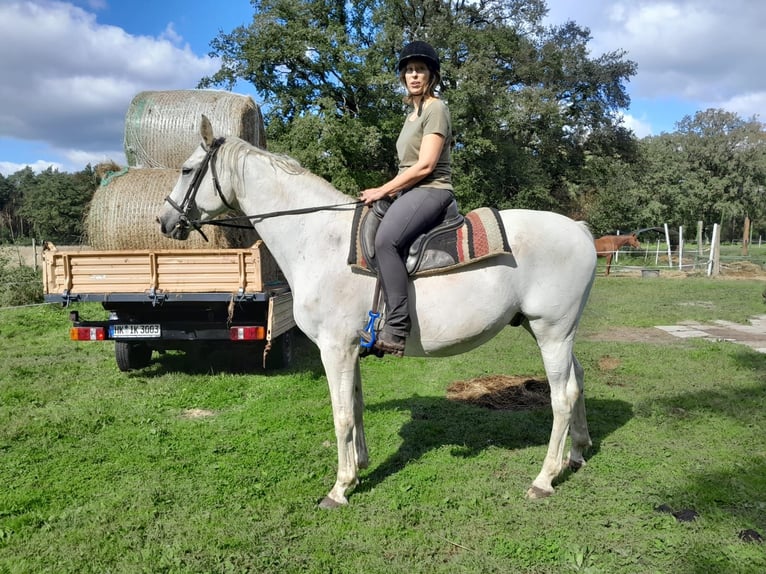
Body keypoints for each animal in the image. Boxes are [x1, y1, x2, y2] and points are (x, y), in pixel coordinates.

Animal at [156, 116, 600, 508]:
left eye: (187, 169)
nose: (164, 220)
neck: (319, 239)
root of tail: (578, 229)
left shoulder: (334, 349)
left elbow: (341, 416)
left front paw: (339, 489)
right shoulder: (350, 349)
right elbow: (355, 407)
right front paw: (359, 468)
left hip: (552, 332)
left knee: (562, 396)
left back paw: (544, 478)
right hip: (553, 332)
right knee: (577, 381)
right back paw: (576, 454)